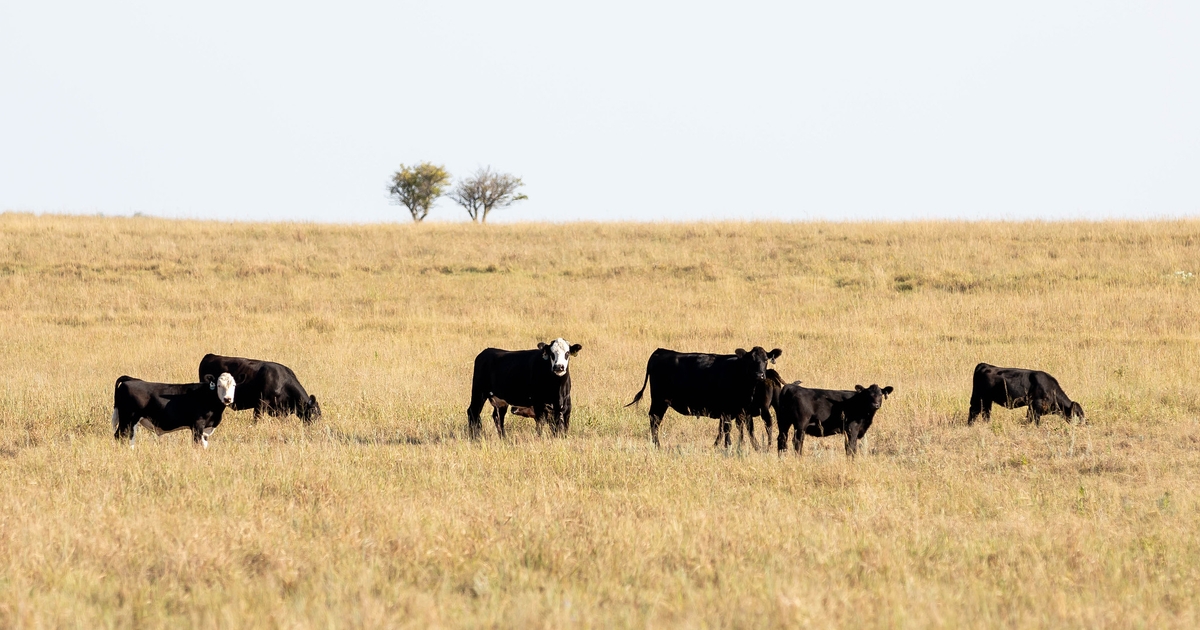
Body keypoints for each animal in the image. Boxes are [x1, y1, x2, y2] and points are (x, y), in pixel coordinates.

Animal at [624, 345, 782, 448]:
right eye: (751, 361)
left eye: (766, 360)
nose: (760, 375)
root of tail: (660, 351)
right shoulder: (728, 408)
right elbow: (727, 428)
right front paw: (728, 446)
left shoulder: (740, 410)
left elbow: (737, 428)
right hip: (659, 400)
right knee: (655, 419)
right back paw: (657, 445)